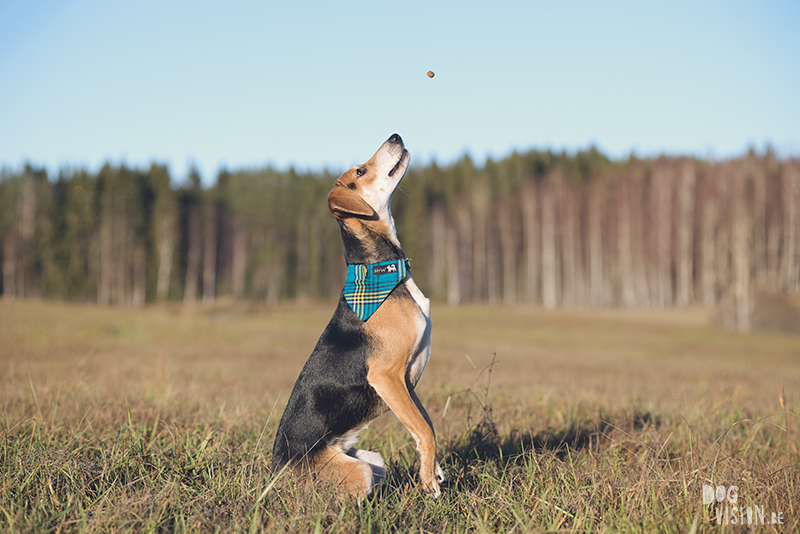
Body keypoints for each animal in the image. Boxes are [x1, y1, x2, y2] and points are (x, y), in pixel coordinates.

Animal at [268, 134, 444, 502]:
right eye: (361, 171)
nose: (395, 136)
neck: (383, 269)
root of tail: (277, 473)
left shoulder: (406, 383)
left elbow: (427, 424)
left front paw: (433, 469)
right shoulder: (387, 377)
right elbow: (424, 429)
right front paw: (428, 481)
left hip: (373, 461)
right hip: (359, 472)